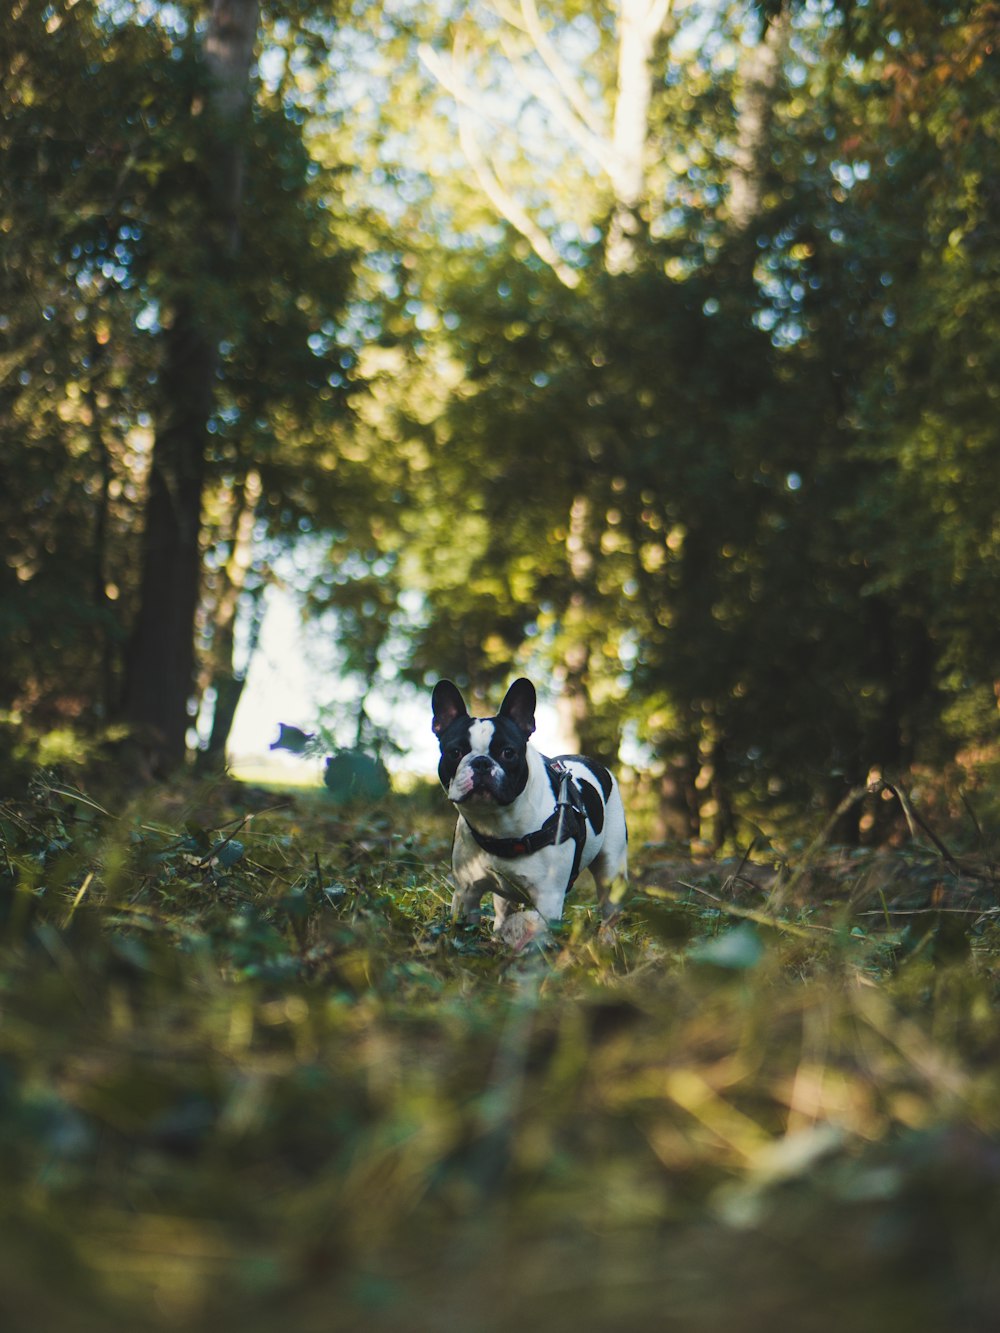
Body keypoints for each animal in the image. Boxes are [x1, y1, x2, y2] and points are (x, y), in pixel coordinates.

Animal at [432, 677, 626, 949]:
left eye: (508, 752)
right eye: (455, 752)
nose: (481, 762)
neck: (499, 823)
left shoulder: (548, 900)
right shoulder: (466, 892)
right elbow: (465, 928)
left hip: (611, 870)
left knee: (609, 907)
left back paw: (607, 941)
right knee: (504, 910)